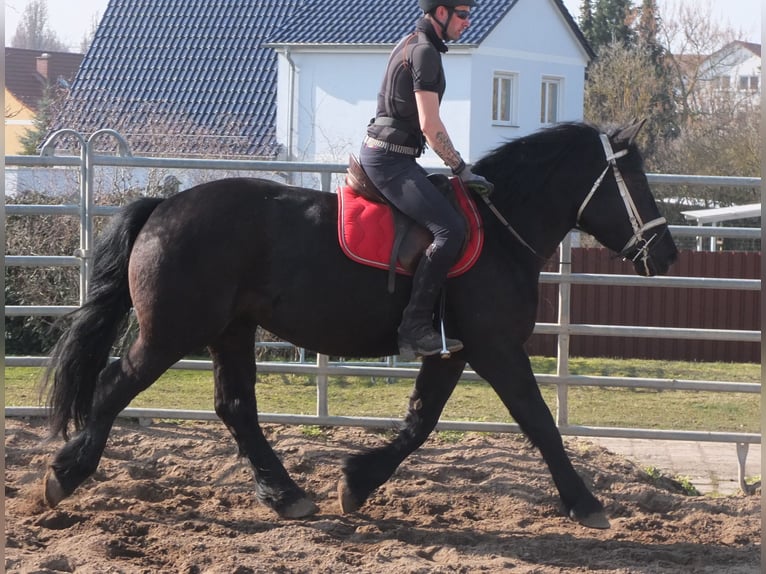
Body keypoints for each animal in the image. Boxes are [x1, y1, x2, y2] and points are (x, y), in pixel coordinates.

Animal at [42, 120, 680, 532]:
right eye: (634, 178)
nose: (668, 253)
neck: (501, 231)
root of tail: (163, 208)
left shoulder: (452, 351)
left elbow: (420, 423)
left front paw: (357, 481)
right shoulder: (495, 347)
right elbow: (540, 423)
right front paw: (585, 503)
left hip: (231, 330)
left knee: (235, 408)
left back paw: (287, 495)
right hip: (171, 333)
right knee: (113, 388)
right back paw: (65, 474)